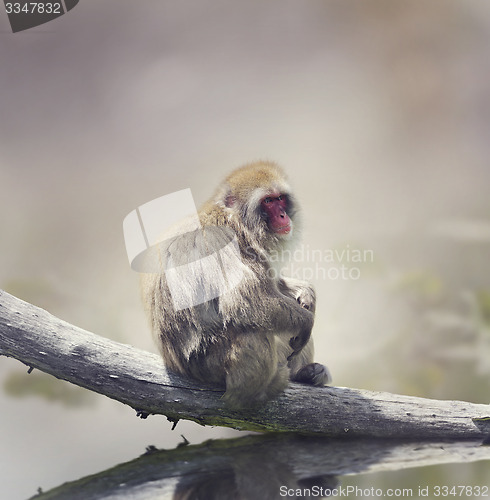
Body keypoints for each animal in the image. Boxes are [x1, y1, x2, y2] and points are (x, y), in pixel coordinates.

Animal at [140, 162, 332, 408]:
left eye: (280, 198)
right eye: (268, 201)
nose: (283, 215)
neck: (235, 222)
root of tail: (174, 364)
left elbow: (273, 285)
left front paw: (306, 292)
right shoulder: (220, 238)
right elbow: (243, 301)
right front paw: (307, 321)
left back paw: (305, 374)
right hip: (210, 366)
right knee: (254, 330)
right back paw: (253, 395)